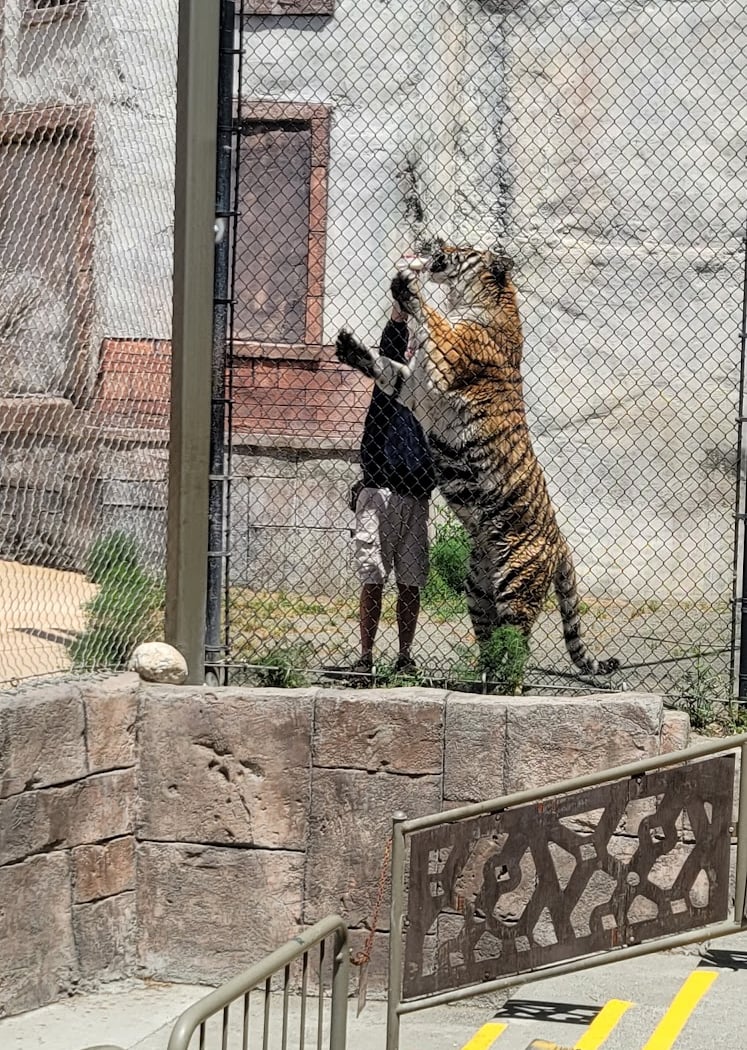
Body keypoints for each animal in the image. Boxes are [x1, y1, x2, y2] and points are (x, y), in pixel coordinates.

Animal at [335, 241, 619, 677]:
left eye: (463, 250)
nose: (437, 242)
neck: (471, 300)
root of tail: (559, 542)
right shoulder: (412, 386)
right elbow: (386, 368)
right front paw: (352, 348)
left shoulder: (446, 358)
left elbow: (431, 320)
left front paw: (407, 286)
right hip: (478, 589)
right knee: (491, 644)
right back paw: (478, 680)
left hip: (516, 588)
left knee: (517, 652)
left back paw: (502, 684)